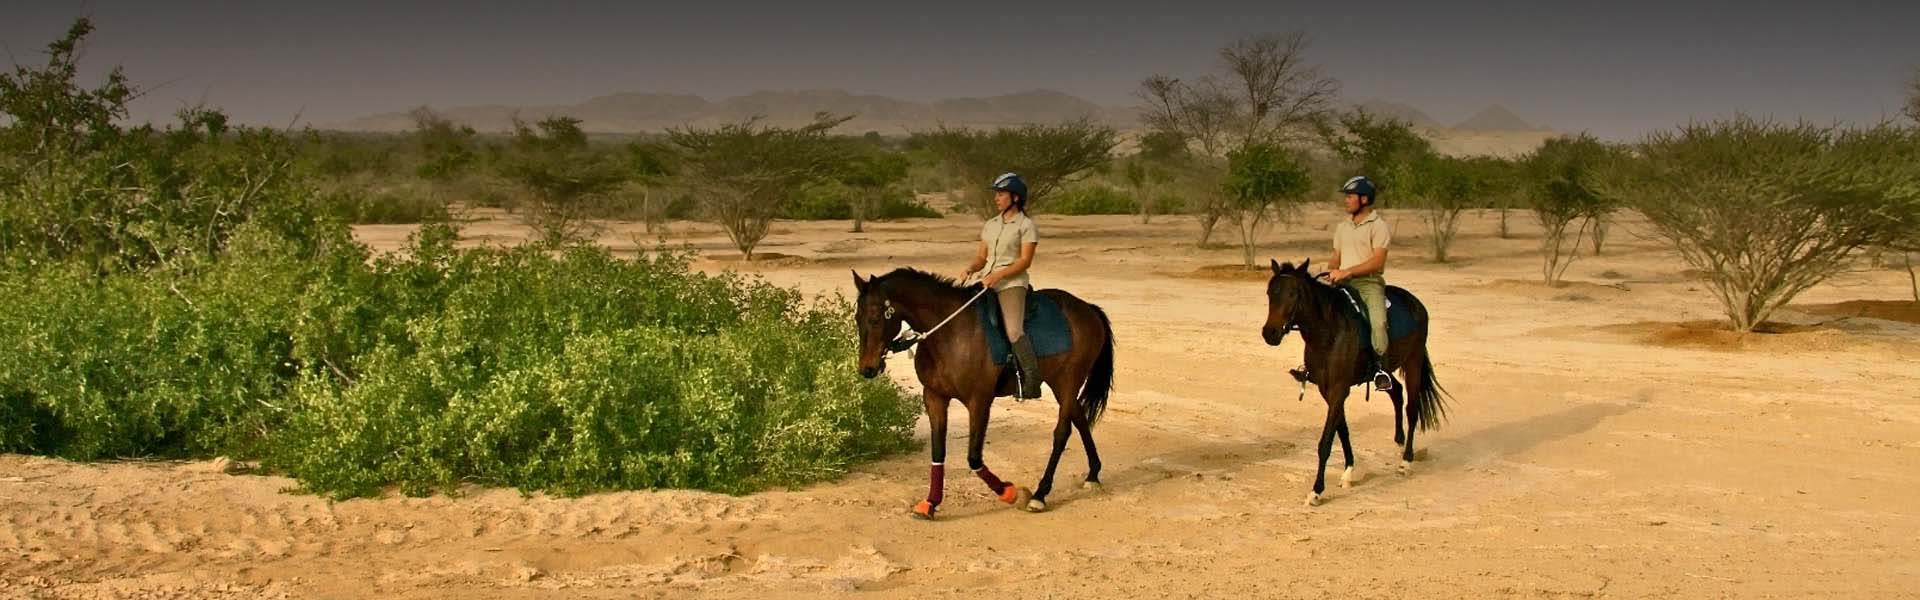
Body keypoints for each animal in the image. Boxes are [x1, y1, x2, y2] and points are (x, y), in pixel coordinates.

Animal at [852, 268, 1115, 519]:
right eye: (857, 318)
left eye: (874, 319)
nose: (867, 368)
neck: (952, 333)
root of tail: (1088, 309)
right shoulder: (934, 397)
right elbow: (938, 452)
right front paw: (930, 503)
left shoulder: (979, 402)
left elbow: (974, 457)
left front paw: (1011, 493)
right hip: (1060, 384)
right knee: (1080, 419)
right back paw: (1093, 474)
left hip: (1068, 381)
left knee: (1062, 433)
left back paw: (1040, 495)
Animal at [1260, 259, 1451, 506]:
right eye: (1270, 293)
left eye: (1293, 294)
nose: (1270, 333)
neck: (1329, 334)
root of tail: (1415, 302)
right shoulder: (1328, 390)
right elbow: (1342, 430)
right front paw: (1349, 472)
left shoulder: (1339, 389)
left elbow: (1326, 441)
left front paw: (1316, 491)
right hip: (1385, 370)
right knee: (1396, 392)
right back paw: (1398, 442)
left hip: (1414, 361)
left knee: (1412, 408)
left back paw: (1406, 461)